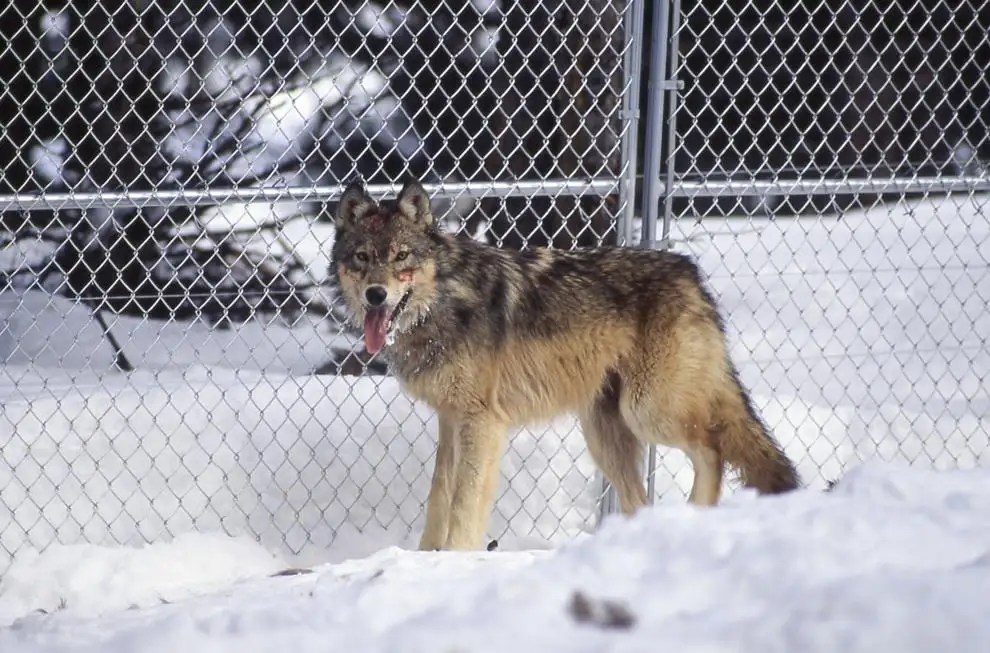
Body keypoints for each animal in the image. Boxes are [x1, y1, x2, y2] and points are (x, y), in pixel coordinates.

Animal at [328, 178, 802, 551]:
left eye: (401, 257)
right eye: (362, 258)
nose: (376, 295)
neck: (443, 299)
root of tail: (690, 272)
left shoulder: (481, 422)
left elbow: (464, 502)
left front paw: (455, 556)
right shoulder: (450, 420)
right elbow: (439, 495)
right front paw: (426, 557)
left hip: (648, 411)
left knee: (713, 448)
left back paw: (692, 516)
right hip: (604, 434)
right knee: (643, 496)